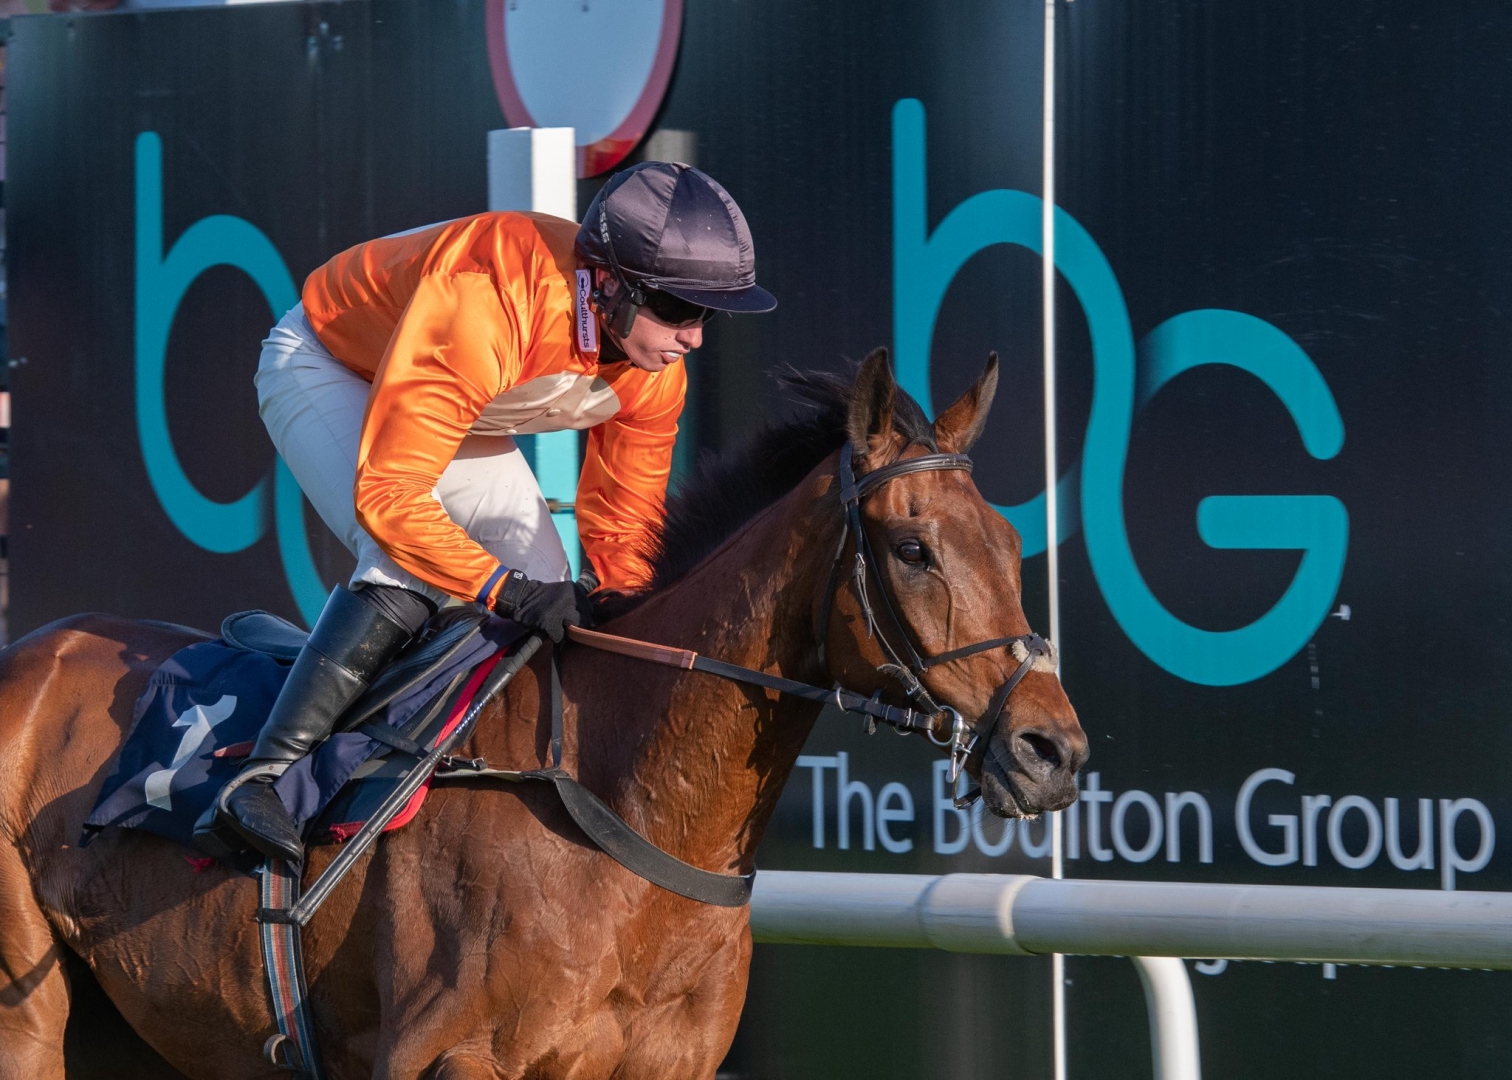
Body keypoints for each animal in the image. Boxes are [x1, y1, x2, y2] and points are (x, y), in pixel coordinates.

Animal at [0, 350, 1086, 1079]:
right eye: (913, 550)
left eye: (1008, 544)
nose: (1052, 750)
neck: (628, 802)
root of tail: (33, 648)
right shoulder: (447, 1055)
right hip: (32, 1017)